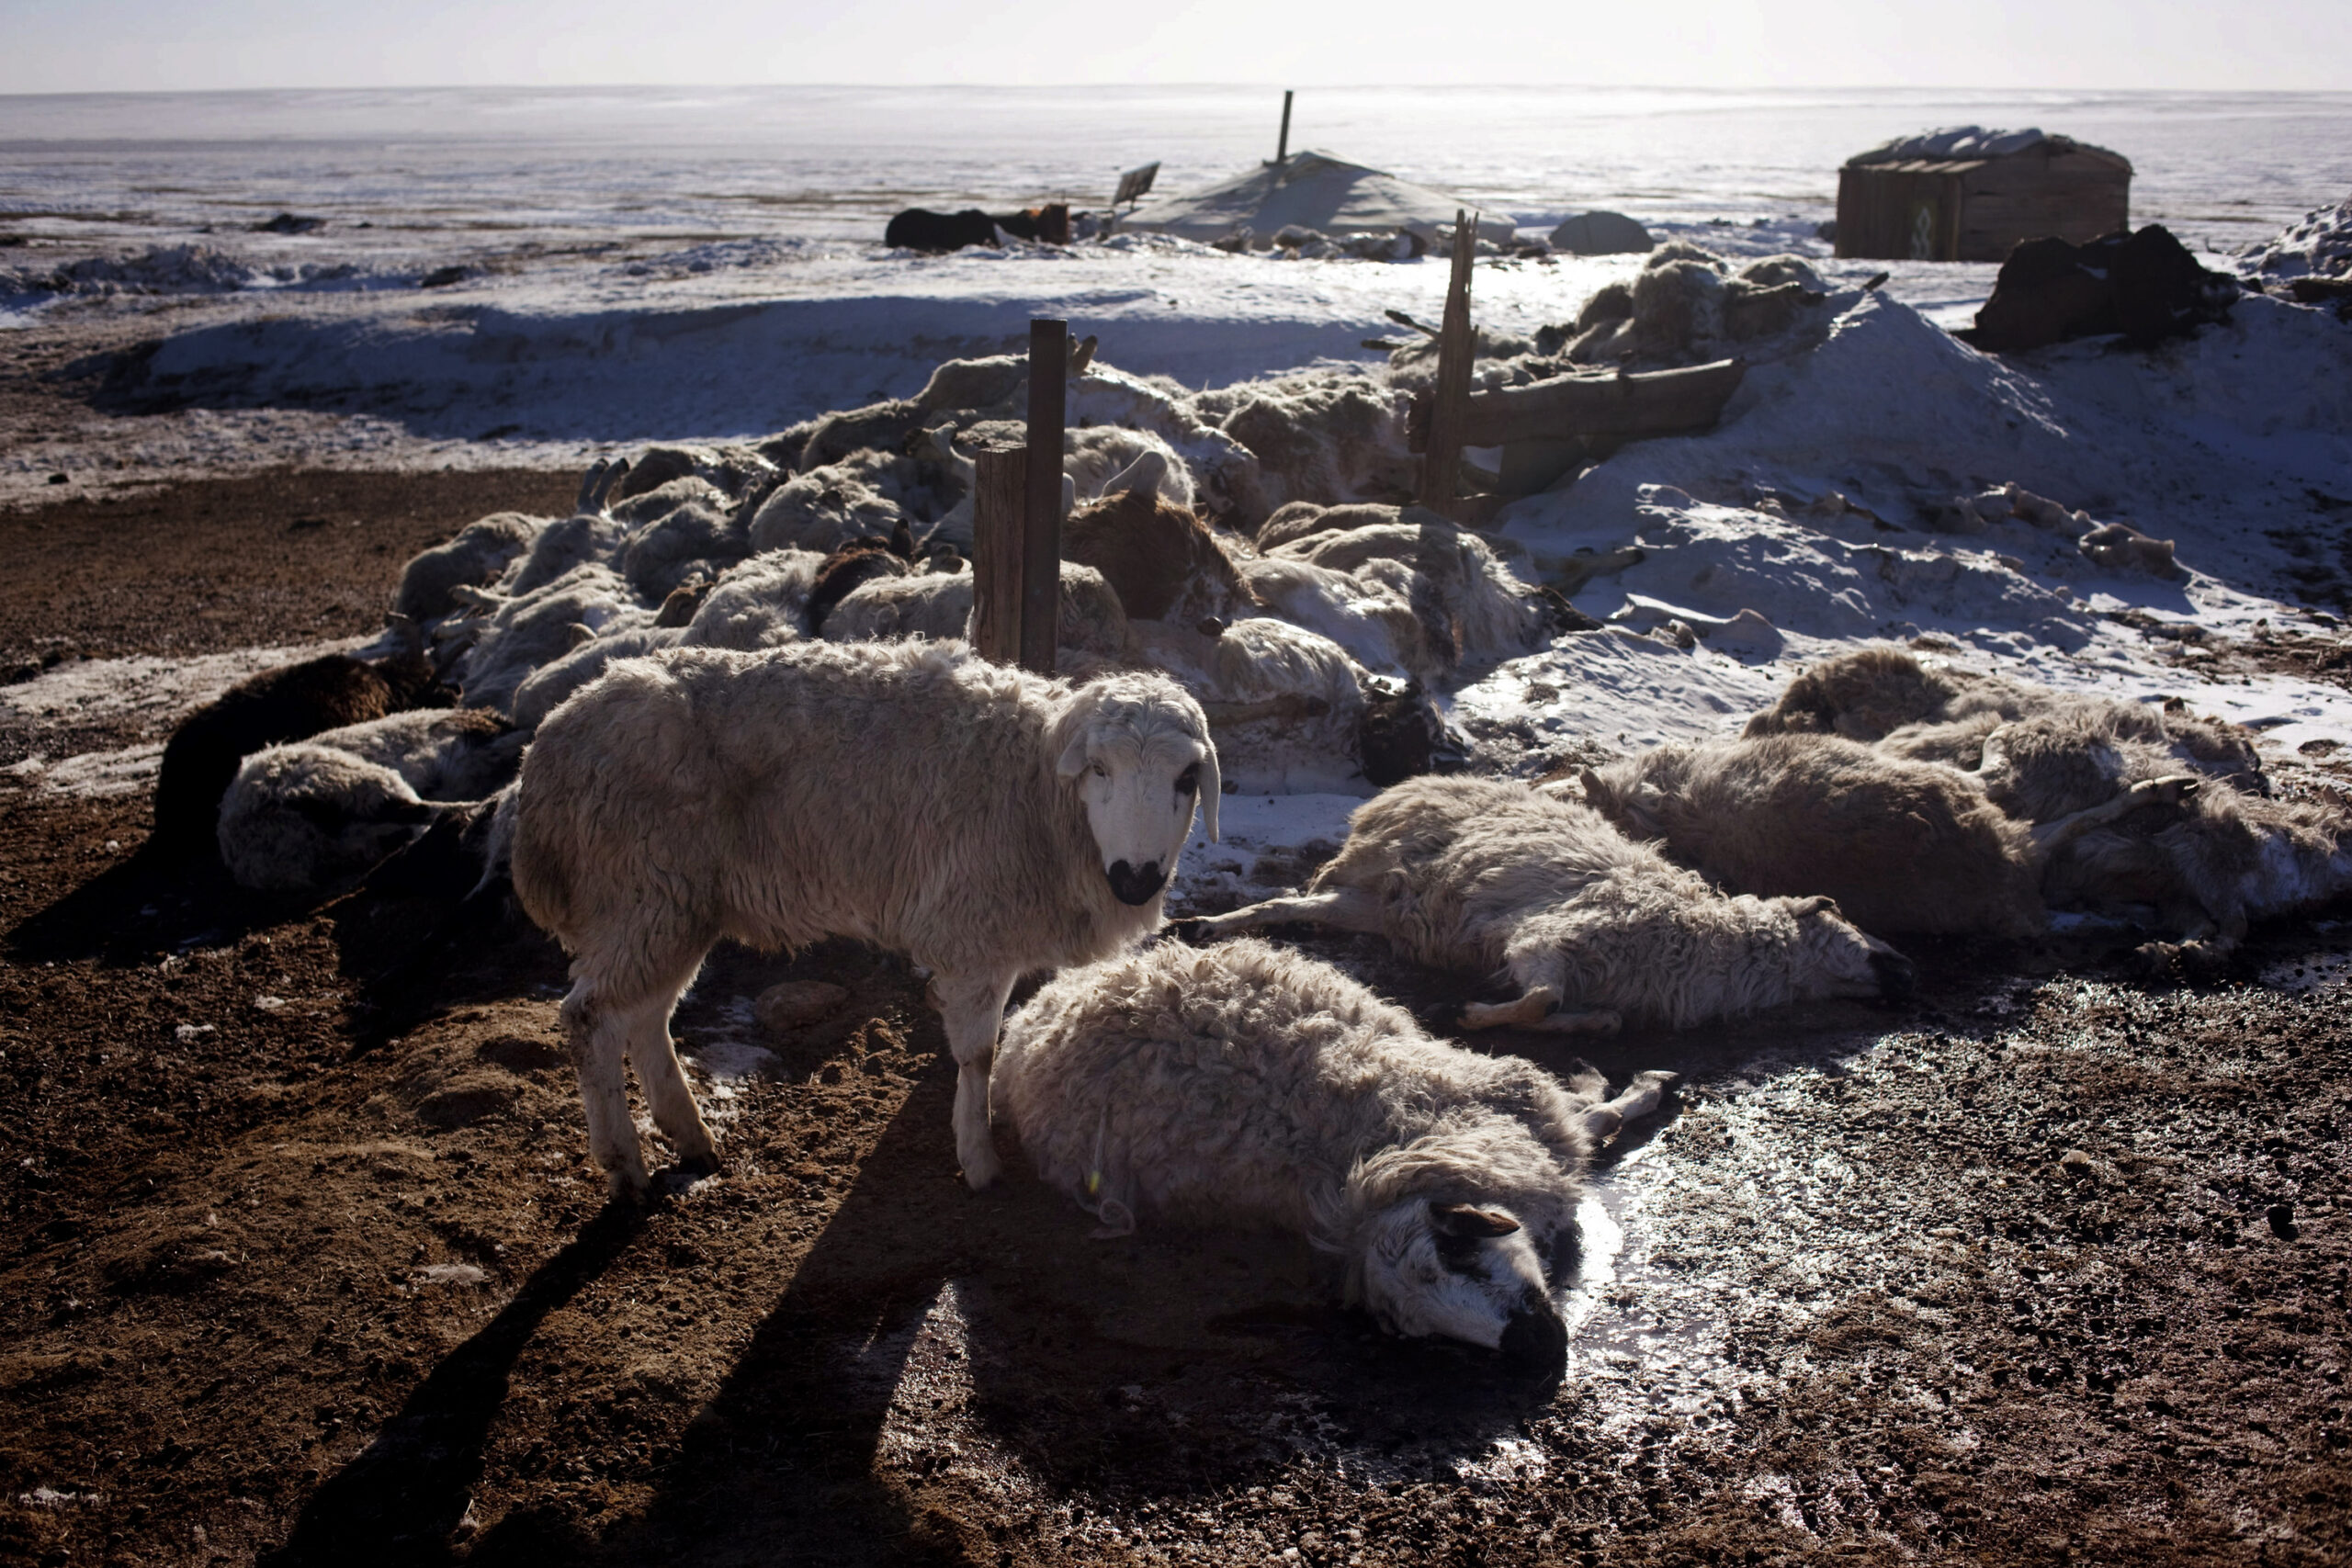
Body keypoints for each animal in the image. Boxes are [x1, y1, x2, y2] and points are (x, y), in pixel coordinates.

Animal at [507, 644, 1223, 1194]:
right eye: (1099, 768)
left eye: (1188, 777)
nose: (1136, 877)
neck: (1038, 793)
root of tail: (548, 744)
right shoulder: (973, 933)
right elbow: (979, 1055)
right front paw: (979, 1160)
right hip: (640, 891)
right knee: (592, 1019)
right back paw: (623, 1163)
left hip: (672, 904)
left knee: (648, 1019)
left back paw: (691, 1138)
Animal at [992, 931, 1674, 1363]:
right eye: (1417, 1330)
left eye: (1455, 1250)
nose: (1540, 1350)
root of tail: (1028, 1028)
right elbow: (1593, 1120)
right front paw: (1634, 1088)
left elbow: (1590, 1113)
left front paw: (1627, 1079)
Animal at [1185, 771, 1900, 1029]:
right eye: (1854, 925)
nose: (1910, 970)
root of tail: (1406, 787)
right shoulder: (1546, 937)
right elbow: (1543, 996)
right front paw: (1466, 1013)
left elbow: (1585, 1014)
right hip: (1372, 866)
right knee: (1301, 890)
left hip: (1373, 906)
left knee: (1282, 907)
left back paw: (1208, 926)